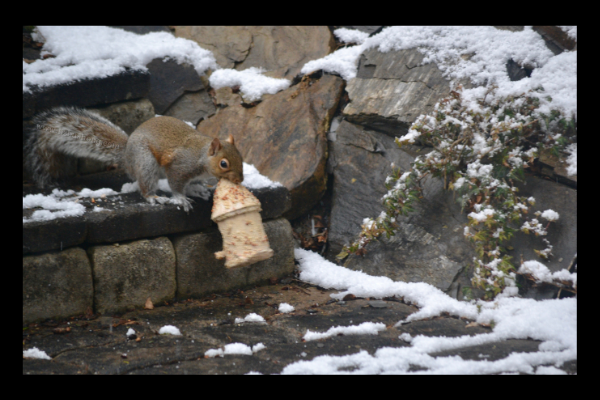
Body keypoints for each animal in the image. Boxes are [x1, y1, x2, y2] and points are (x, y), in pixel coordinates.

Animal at [24, 106, 243, 212]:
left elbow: (193, 184)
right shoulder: (180, 166)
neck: (202, 158)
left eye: (241, 157)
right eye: (224, 163)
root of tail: (127, 156)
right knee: (145, 186)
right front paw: (181, 198)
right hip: (146, 162)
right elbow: (176, 184)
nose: (240, 180)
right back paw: (154, 197)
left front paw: (198, 189)